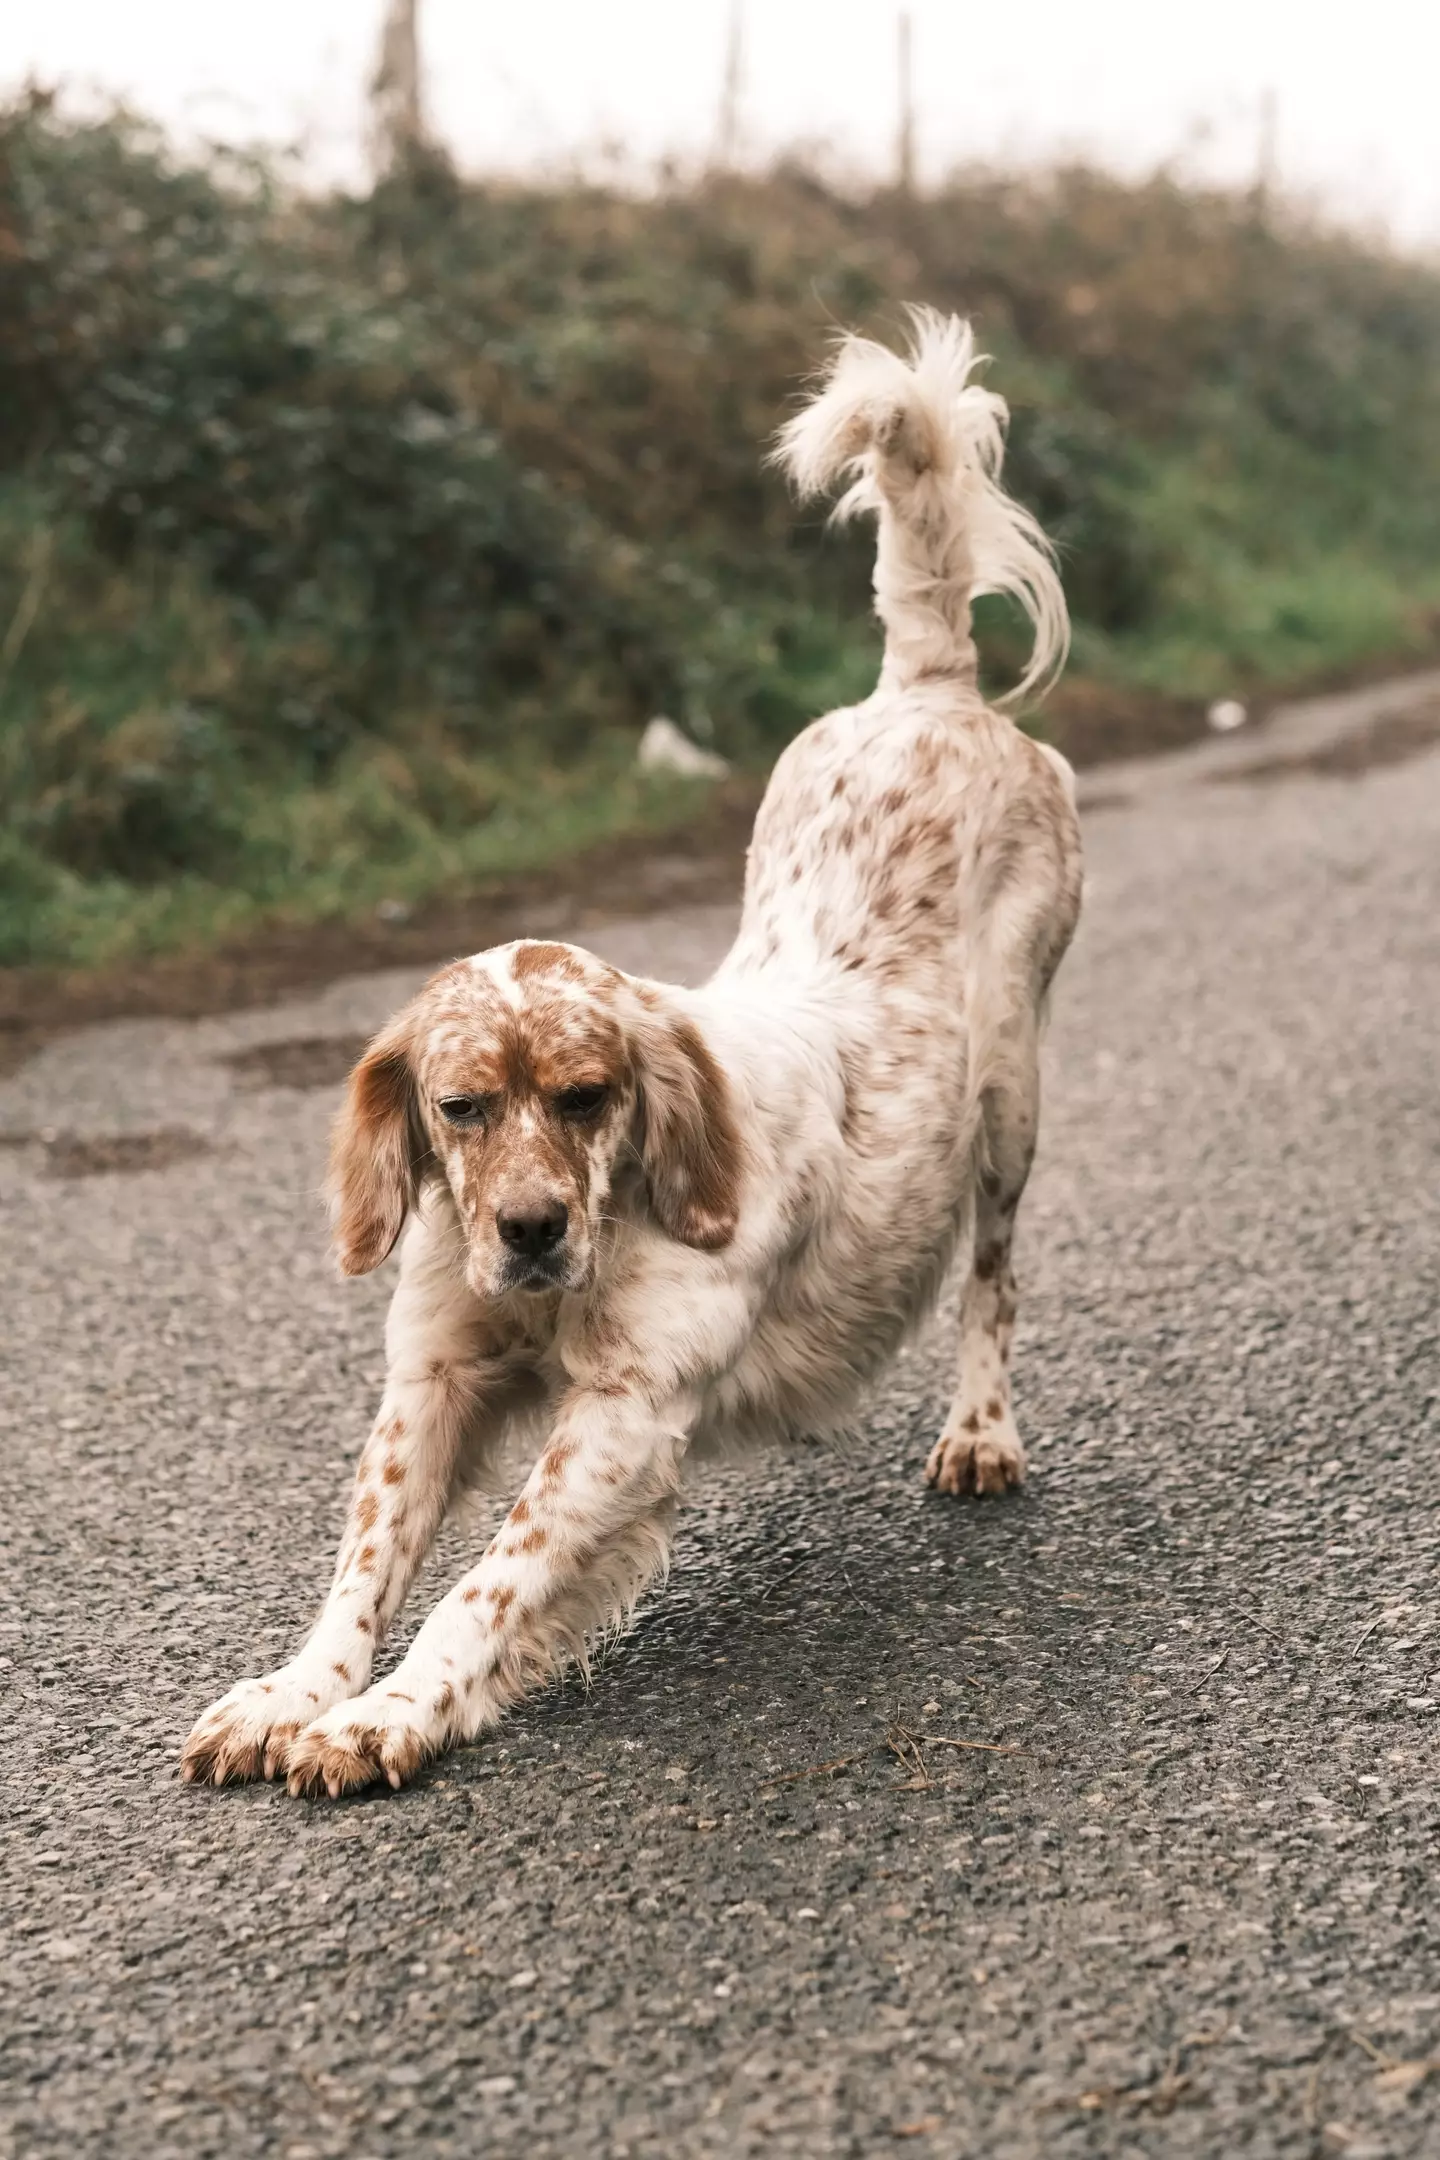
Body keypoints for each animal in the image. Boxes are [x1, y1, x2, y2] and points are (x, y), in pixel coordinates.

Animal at [180, 300, 1079, 1788]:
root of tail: (927, 688)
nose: (532, 1229)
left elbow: (485, 1581)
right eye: (460, 1108)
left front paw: (388, 1713)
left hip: (1012, 1104)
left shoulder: (620, 1411)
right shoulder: (435, 1373)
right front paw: (295, 1691)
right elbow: (366, 1560)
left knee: (992, 1282)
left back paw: (980, 1436)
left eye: (590, 1096)